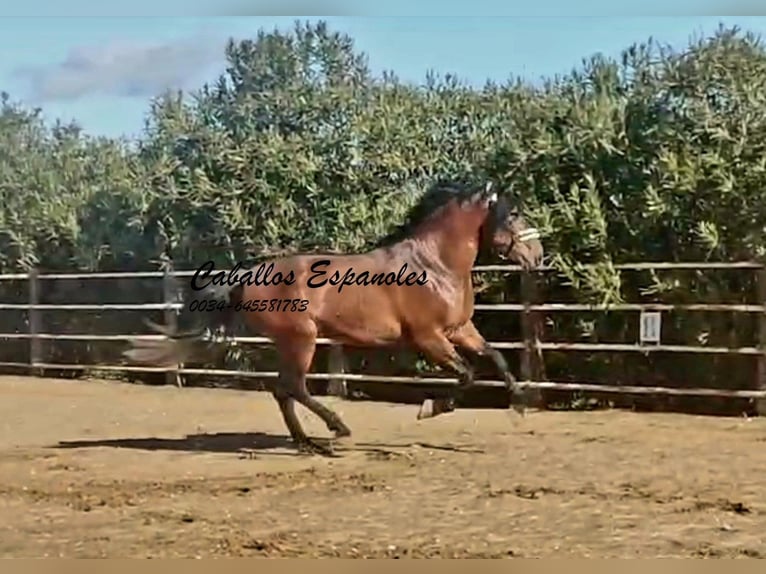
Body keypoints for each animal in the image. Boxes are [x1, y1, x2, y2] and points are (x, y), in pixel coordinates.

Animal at [124, 179, 544, 456]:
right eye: (513, 214)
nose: (537, 255)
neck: (434, 265)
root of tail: (249, 276)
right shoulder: (429, 338)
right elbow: (467, 375)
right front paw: (430, 408)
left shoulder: (460, 330)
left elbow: (496, 358)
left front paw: (519, 408)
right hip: (301, 339)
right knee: (294, 387)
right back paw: (336, 431)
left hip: (291, 343)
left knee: (283, 390)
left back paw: (307, 444)